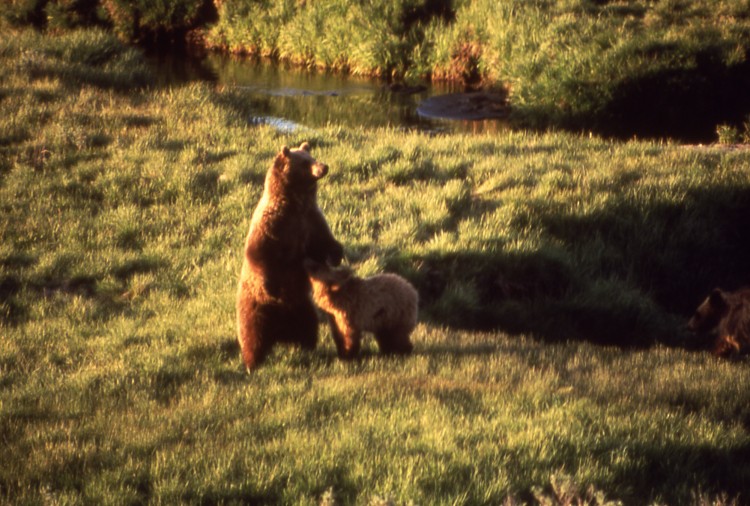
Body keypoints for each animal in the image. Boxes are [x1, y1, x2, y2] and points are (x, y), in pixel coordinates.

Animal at [238, 143, 344, 372]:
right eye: (304, 162)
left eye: (312, 156)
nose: (324, 166)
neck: (295, 204)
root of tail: (280, 335)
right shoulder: (272, 228)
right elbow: (260, 256)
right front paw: (269, 287)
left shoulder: (311, 222)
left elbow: (323, 243)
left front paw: (336, 255)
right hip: (256, 312)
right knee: (252, 337)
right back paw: (252, 365)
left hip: (302, 308)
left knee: (308, 329)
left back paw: (310, 350)